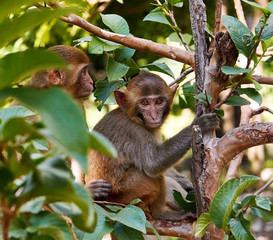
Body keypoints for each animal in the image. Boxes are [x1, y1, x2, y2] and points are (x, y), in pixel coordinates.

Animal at [84, 70, 218, 219]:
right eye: (145, 103)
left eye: (159, 101)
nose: (154, 116)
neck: (132, 116)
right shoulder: (135, 132)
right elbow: (153, 164)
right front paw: (199, 124)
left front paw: (184, 181)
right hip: (126, 195)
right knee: (151, 175)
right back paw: (162, 214)